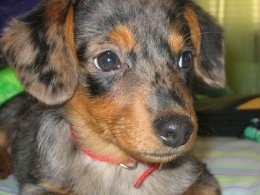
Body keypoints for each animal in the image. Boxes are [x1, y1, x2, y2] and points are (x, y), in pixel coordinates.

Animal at [0, 0, 224, 194]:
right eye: (107, 60)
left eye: (185, 58)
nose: (179, 130)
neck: (120, 165)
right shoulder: (39, 186)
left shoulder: (203, 180)